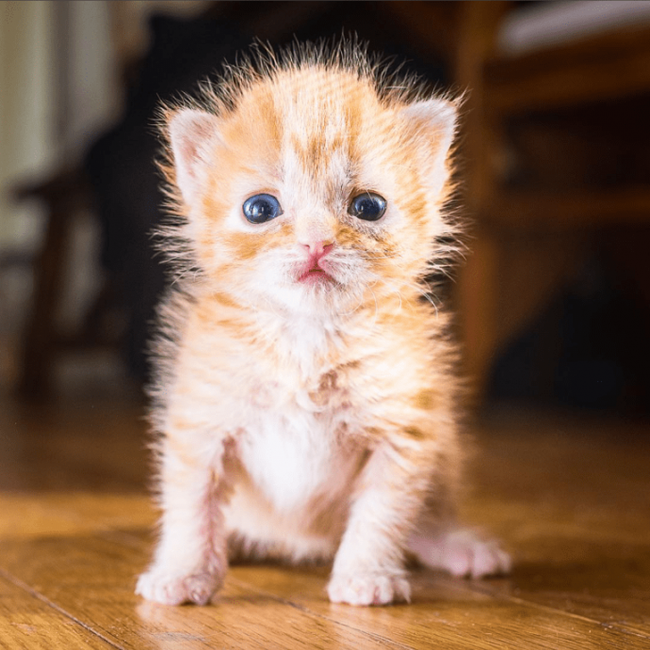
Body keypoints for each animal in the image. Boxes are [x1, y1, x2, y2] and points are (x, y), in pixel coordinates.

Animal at [134, 43, 508, 604]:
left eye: (368, 207)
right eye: (260, 208)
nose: (316, 242)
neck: (305, 340)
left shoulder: (404, 431)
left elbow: (382, 514)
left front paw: (366, 575)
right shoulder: (200, 422)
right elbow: (191, 505)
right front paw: (183, 571)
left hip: (443, 449)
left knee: (429, 516)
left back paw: (454, 546)